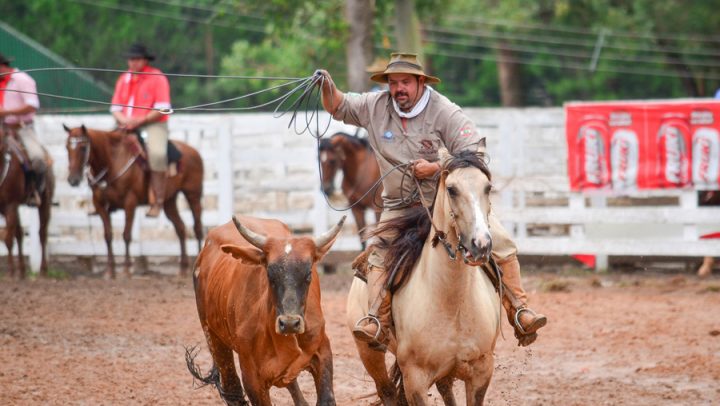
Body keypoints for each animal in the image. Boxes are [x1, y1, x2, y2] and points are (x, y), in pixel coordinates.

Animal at [0, 127, 53, 280]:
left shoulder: (10, 205)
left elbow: (8, 239)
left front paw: (11, 272)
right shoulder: (7, 208)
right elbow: (12, 236)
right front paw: (15, 271)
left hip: (45, 202)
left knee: (42, 233)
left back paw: (43, 270)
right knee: (19, 234)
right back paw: (22, 271)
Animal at [63, 125, 204, 274]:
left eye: (83, 147)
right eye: (67, 147)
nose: (72, 180)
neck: (112, 161)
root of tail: (193, 150)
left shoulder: (130, 202)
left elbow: (126, 235)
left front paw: (126, 269)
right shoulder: (99, 204)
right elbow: (108, 235)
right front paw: (110, 270)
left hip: (193, 195)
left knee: (197, 229)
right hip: (169, 200)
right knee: (180, 228)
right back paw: (183, 267)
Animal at [346, 149, 498, 406]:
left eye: (487, 187)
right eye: (452, 189)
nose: (481, 244)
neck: (453, 303)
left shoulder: (482, 371)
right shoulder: (415, 379)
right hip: (368, 351)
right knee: (387, 390)